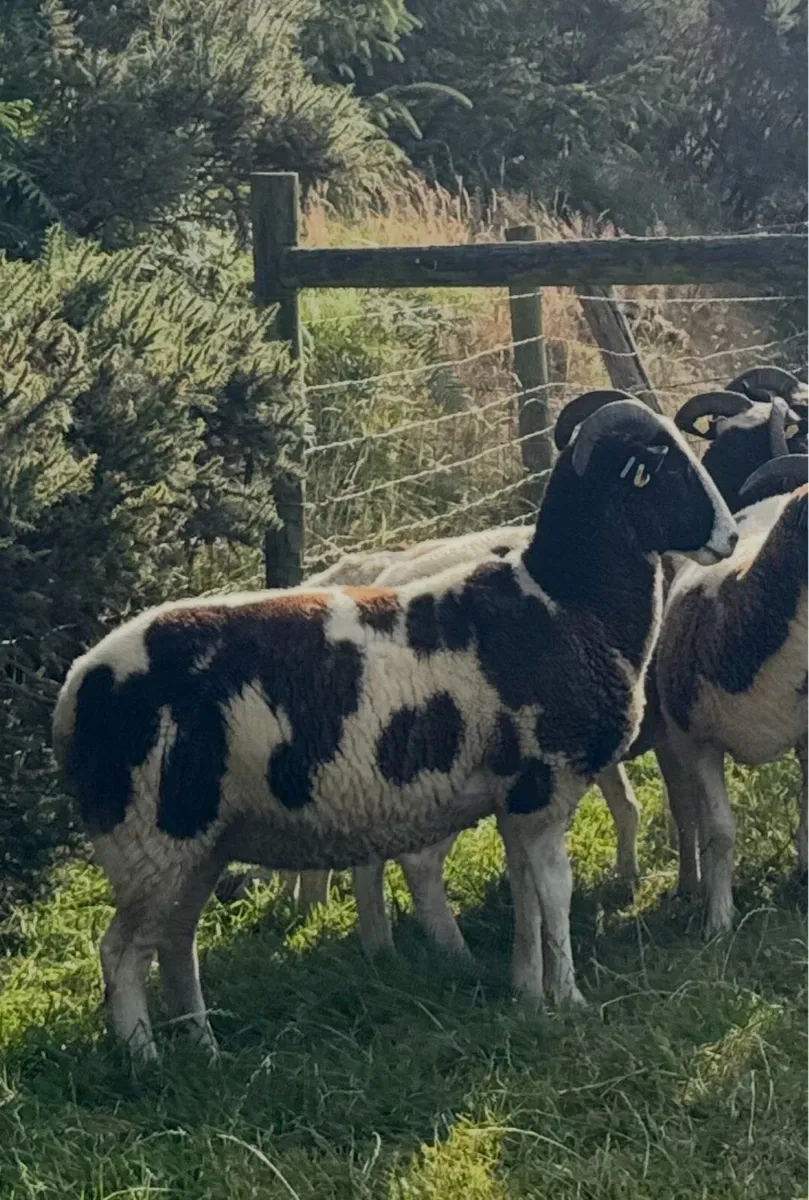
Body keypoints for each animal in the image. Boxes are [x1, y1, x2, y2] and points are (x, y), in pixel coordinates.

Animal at [53, 396, 737, 1062]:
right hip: (151, 839)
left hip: (198, 845)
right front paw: (568, 999)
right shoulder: (544, 788)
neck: (567, 600)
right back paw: (145, 1060)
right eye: (670, 469)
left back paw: (204, 1049)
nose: (730, 538)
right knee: (121, 954)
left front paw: (527, 992)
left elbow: (525, 899)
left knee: (175, 943)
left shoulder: (513, 799)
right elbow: (554, 896)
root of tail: (76, 688)